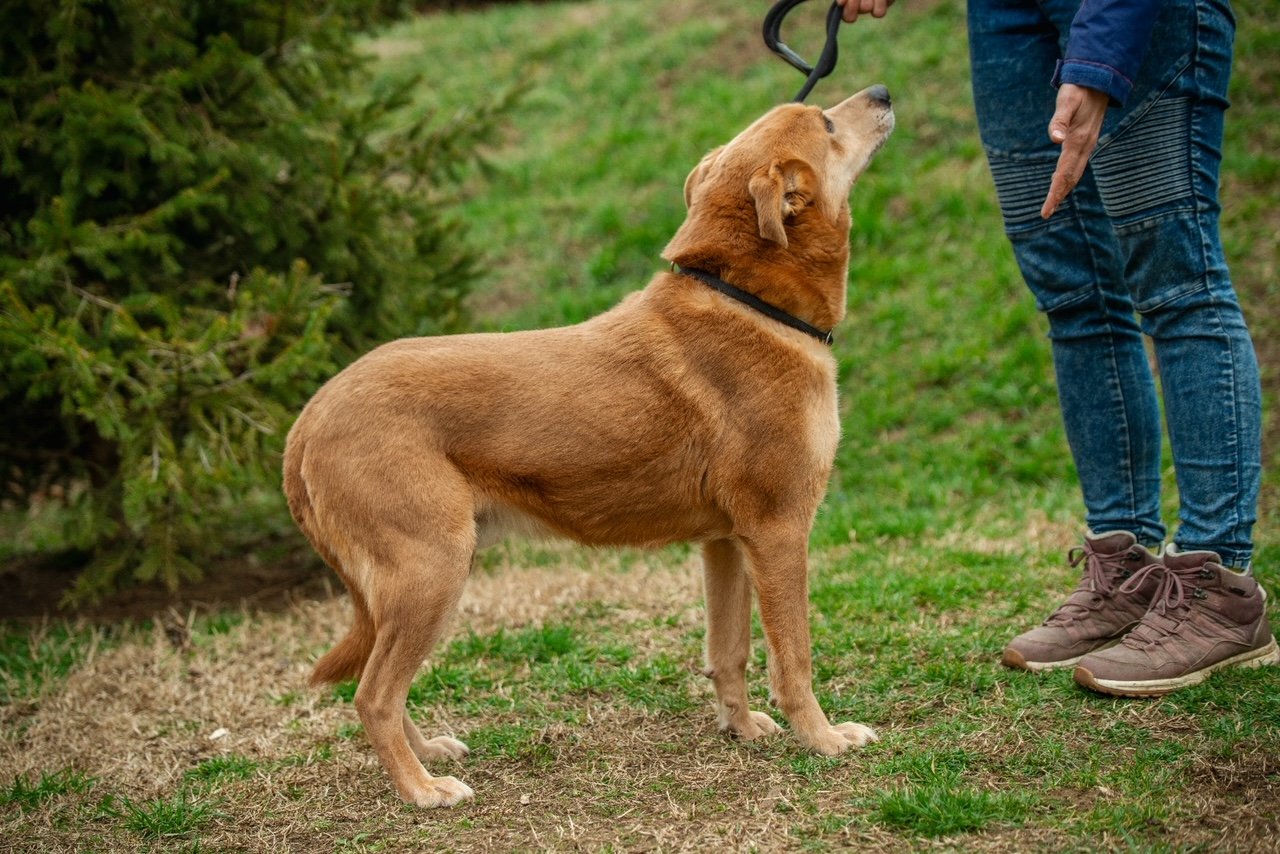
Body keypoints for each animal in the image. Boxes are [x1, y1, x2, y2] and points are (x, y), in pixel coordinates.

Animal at [283, 85, 894, 807]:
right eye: (826, 124)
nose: (882, 93)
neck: (747, 301)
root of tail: (308, 420)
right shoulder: (779, 533)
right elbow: (794, 660)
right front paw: (823, 739)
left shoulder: (725, 542)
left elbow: (729, 654)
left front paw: (742, 730)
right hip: (432, 572)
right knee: (373, 695)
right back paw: (423, 790)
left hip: (409, 587)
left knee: (377, 684)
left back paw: (428, 754)